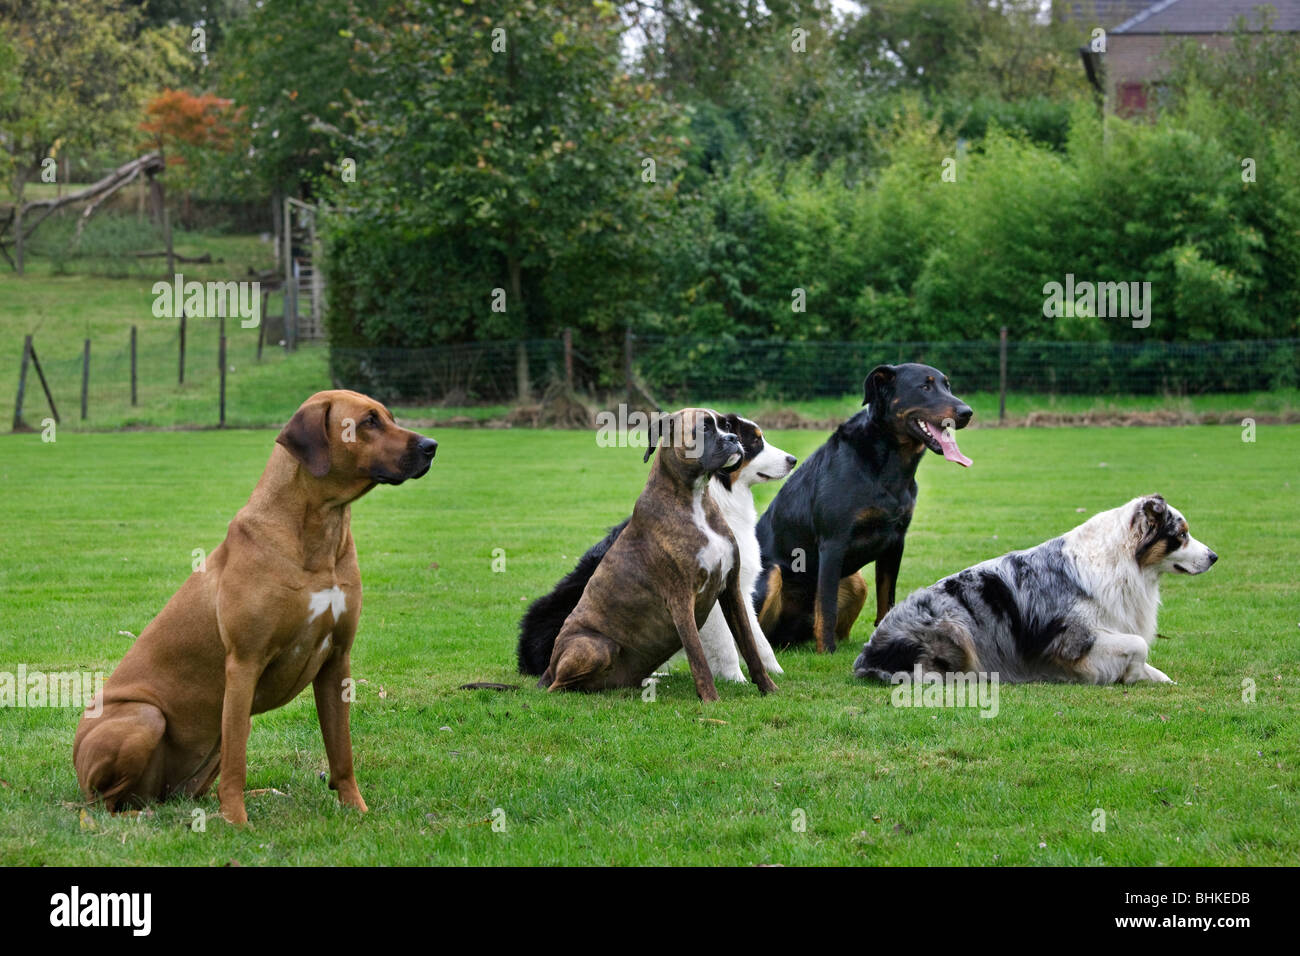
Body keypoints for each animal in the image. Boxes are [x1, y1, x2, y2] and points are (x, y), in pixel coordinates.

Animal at [72, 390, 436, 822]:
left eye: (389, 417)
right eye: (368, 422)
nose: (431, 446)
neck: (319, 529)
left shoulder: (337, 660)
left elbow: (342, 753)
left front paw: (356, 809)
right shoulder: (243, 663)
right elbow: (237, 764)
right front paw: (236, 822)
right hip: (147, 717)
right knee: (103, 804)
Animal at [517, 416, 790, 686]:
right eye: (755, 441)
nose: (793, 460)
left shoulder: (738, 588)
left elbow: (758, 639)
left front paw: (775, 672)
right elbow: (725, 645)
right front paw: (736, 679)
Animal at [852, 496, 1216, 686]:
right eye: (1181, 535)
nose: (1214, 556)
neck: (1121, 562)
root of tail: (866, 655)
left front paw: (1153, 676)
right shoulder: (1070, 641)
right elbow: (1138, 644)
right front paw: (1130, 673)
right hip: (955, 626)